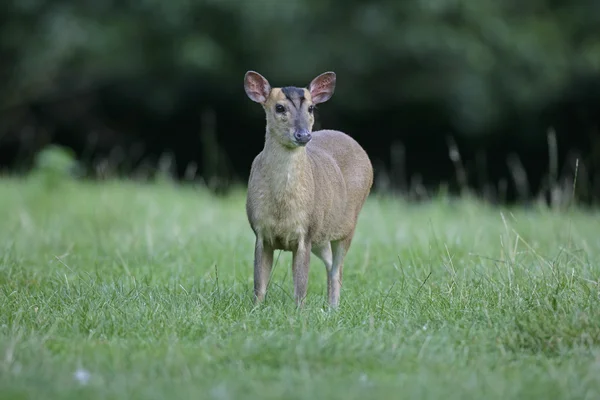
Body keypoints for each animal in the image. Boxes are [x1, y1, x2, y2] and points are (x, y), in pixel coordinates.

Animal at [243, 70, 370, 308]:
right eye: (279, 107)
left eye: (311, 108)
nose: (303, 135)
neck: (282, 207)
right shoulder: (260, 231)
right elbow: (259, 285)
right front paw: (255, 310)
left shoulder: (306, 232)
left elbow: (301, 288)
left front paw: (299, 312)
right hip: (322, 233)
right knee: (330, 263)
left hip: (348, 224)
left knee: (338, 269)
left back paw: (333, 308)